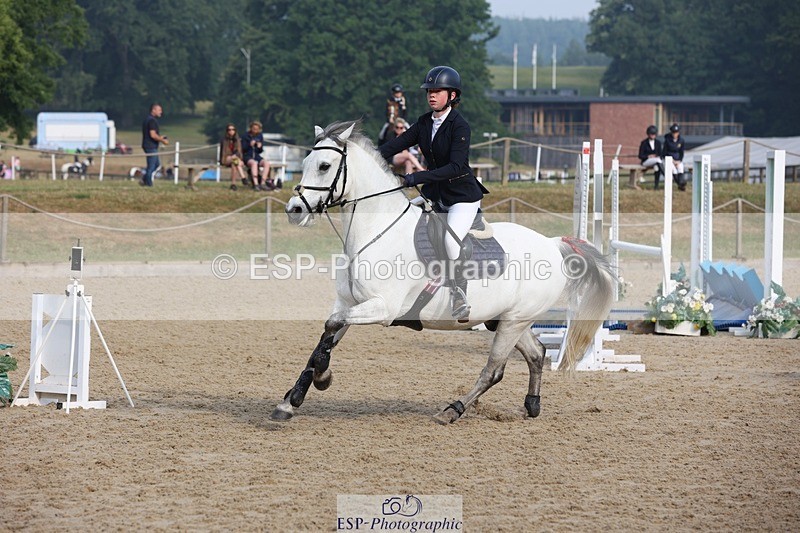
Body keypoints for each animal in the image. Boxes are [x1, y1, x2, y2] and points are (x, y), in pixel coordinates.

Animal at [271, 121, 616, 424]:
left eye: (324, 166)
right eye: (305, 162)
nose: (294, 210)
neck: (376, 231)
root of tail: (552, 244)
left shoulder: (382, 308)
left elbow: (329, 331)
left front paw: (321, 379)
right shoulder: (349, 304)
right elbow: (324, 338)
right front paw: (292, 400)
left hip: (515, 320)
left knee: (494, 370)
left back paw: (452, 410)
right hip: (506, 320)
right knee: (537, 353)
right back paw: (531, 405)